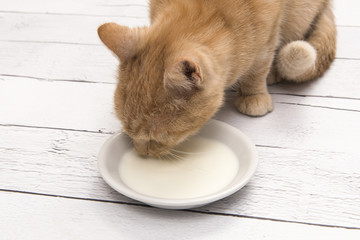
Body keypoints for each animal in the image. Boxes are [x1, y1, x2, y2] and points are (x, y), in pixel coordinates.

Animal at [97, 0, 336, 157]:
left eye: (156, 138)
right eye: (128, 131)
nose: (140, 153)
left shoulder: (269, 33)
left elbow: (258, 68)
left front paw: (254, 95)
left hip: (299, 14)